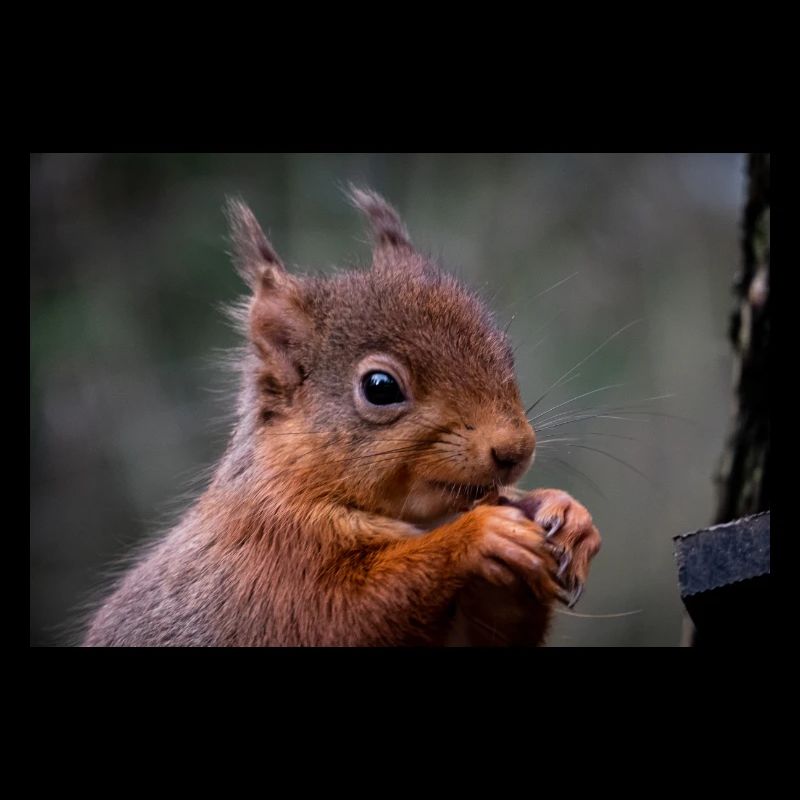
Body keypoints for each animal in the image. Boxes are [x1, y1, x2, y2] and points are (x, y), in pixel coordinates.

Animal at [83, 187, 602, 647]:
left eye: (505, 352)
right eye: (380, 387)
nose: (515, 450)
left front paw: (567, 515)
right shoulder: (276, 564)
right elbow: (339, 613)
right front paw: (478, 535)